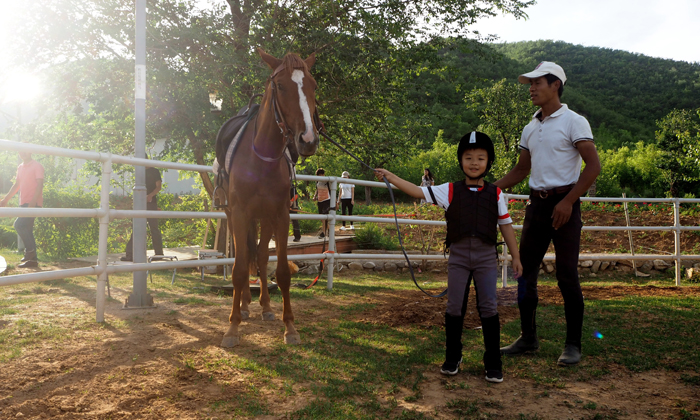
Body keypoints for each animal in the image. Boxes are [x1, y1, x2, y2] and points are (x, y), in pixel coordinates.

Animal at [218, 49, 320, 347]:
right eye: (281, 86)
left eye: (313, 86)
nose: (308, 140)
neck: (261, 158)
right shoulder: (240, 214)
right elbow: (239, 269)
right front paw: (232, 327)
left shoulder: (281, 215)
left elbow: (282, 271)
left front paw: (290, 327)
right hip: (236, 215)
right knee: (244, 255)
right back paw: (244, 306)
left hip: (264, 218)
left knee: (262, 256)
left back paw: (264, 306)